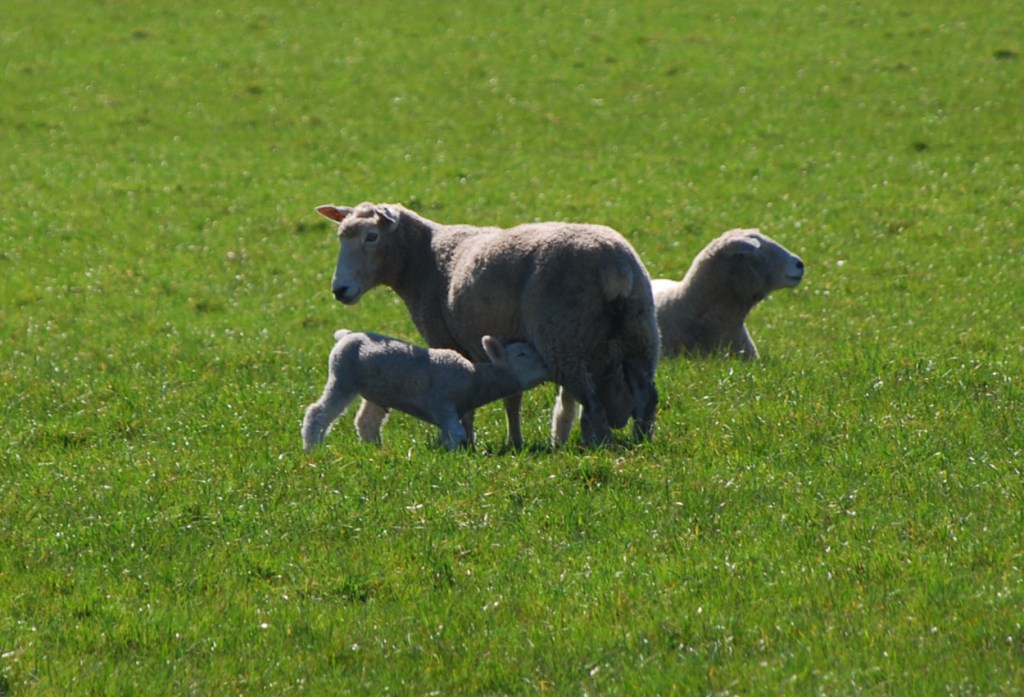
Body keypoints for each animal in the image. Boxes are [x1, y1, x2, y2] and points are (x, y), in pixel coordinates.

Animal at [302, 330, 550, 451]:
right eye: (522, 354)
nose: (546, 365)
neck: (475, 380)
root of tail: (345, 336)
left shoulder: (448, 412)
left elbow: (448, 434)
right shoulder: (443, 403)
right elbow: (457, 434)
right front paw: (454, 456)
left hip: (375, 389)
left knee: (365, 421)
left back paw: (375, 450)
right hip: (342, 378)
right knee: (318, 413)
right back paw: (313, 448)